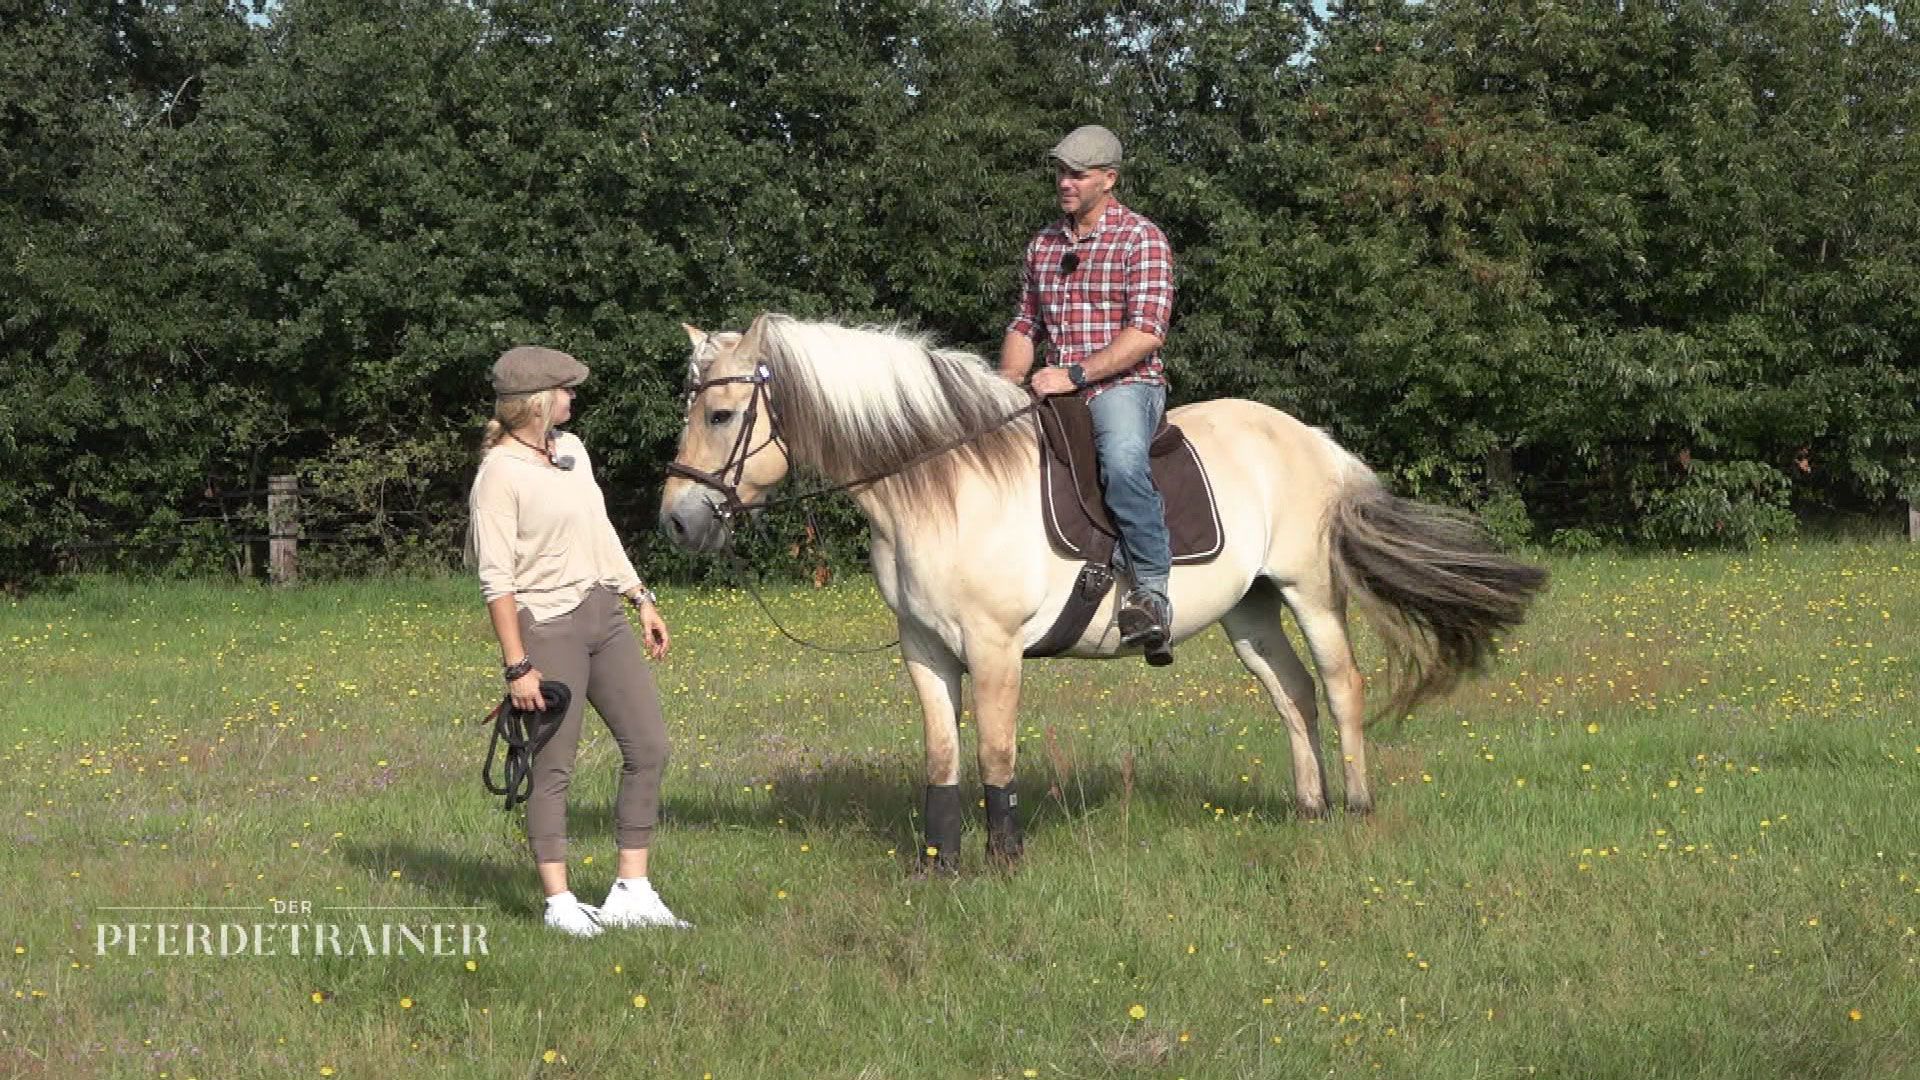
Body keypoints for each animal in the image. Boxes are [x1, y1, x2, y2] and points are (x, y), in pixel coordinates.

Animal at [656, 313, 1543, 864]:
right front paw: (937, 863)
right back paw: (1309, 808)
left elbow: (996, 751)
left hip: (1309, 592)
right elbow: (942, 756)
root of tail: (1318, 441)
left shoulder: (994, 648)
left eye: (725, 415)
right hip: (1249, 608)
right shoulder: (925, 648)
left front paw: (1004, 857)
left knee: (1341, 685)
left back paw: (1355, 807)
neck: (943, 483)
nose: (676, 521)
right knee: (1292, 694)